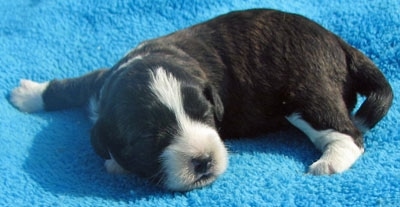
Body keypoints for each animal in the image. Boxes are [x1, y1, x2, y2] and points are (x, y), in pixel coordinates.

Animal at [10, 9, 394, 191]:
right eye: (149, 138)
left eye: (206, 116)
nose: (204, 160)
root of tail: (341, 44)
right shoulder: (100, 83)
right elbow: (70, 85)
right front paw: (28, 94)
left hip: (306, 91)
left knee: (349, 134)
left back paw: (329, 162)